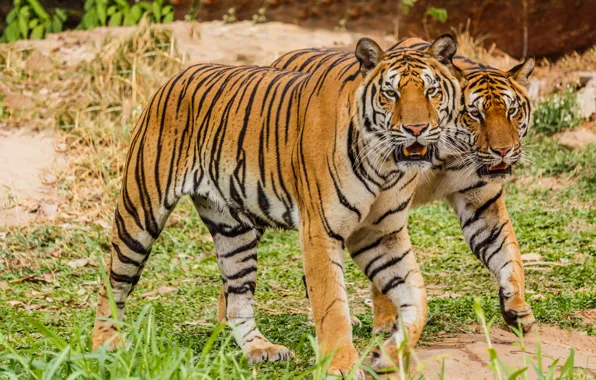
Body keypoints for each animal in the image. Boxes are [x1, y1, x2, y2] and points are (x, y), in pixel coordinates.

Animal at [91, 35, 464, 378]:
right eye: (391, 94)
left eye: (432, 92)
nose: (416, 129)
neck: (386, 164)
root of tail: (177, 75)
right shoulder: (321, 229)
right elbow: (332, 304)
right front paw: (341, 366)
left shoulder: (380, 232)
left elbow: (417, 299)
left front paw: (387, 353)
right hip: (140, 212)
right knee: (113, 280)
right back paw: (106, 343)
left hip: (235, 231)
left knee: (237, 299)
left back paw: (261, 349)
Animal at [266, 37, 536, 370]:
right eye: (474, 115)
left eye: (512, 112)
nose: (503, 151)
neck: (451, 153)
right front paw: (386, 322)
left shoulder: (481, 201)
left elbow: (507, 252)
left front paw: (517, 308)